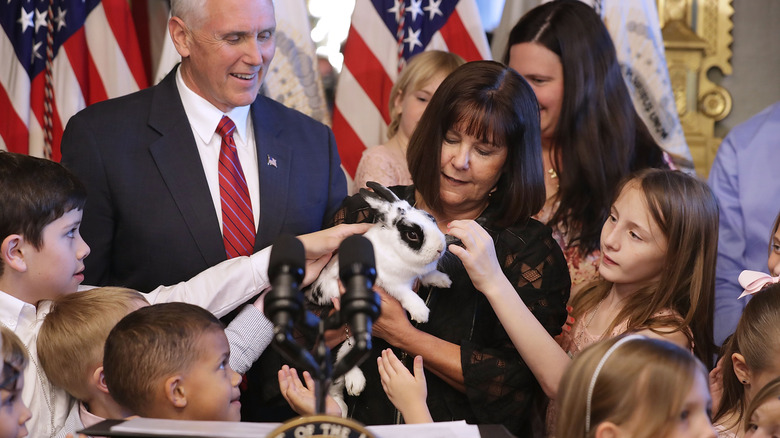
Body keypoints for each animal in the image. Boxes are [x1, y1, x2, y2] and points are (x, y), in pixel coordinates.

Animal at [306, 180, 450, 398]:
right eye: (412, 234)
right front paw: (421, 313)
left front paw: (443, 280)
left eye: (431, 217)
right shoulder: (391, 283)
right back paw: (354, 384)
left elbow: (427, 275)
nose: (440, 249)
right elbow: (405, 294)